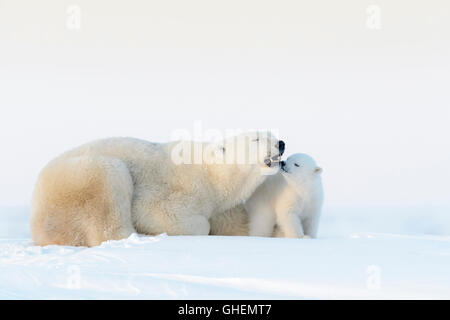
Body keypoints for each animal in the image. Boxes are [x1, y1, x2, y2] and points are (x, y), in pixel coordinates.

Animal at [30, 131, 284, 246]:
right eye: (257, 139)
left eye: (272, 135)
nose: (281, 143)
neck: (211, 173)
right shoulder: (183, 187)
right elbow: (161, 213)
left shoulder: (222, 207)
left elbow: (240, 225)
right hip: (81, 177)